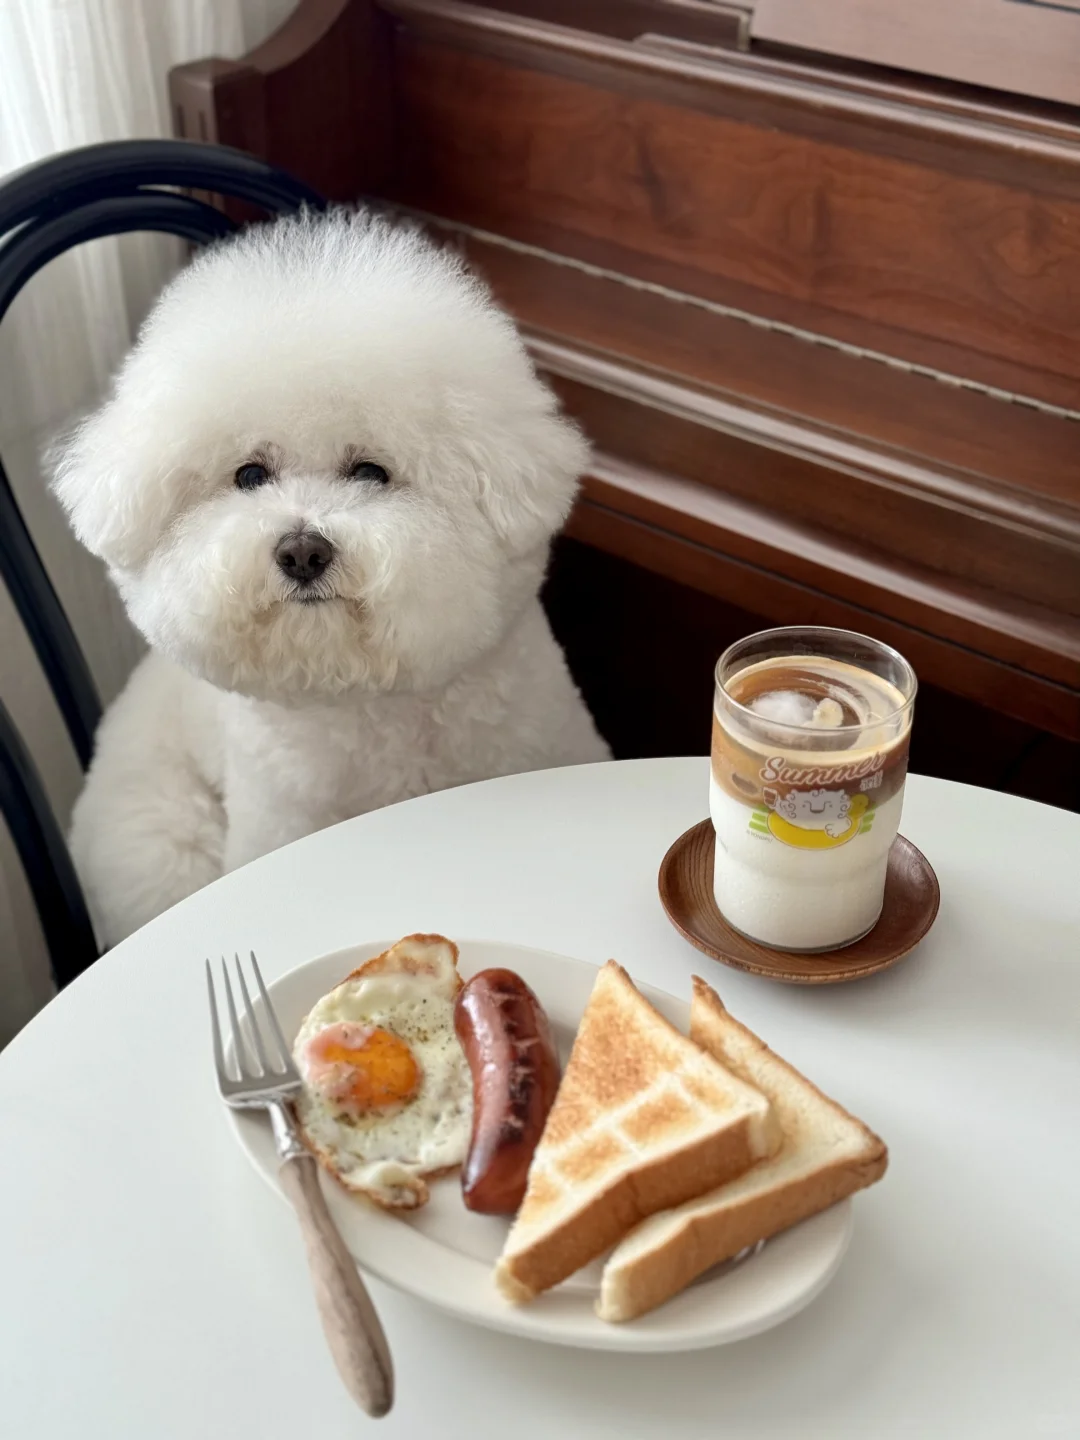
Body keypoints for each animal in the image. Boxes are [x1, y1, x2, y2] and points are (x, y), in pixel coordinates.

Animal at [52, 205, 610, 944]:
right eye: (249, 476)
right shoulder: (279, 814)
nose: (301, 552)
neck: (373, 705)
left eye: (370, 471)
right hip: (162, 839)